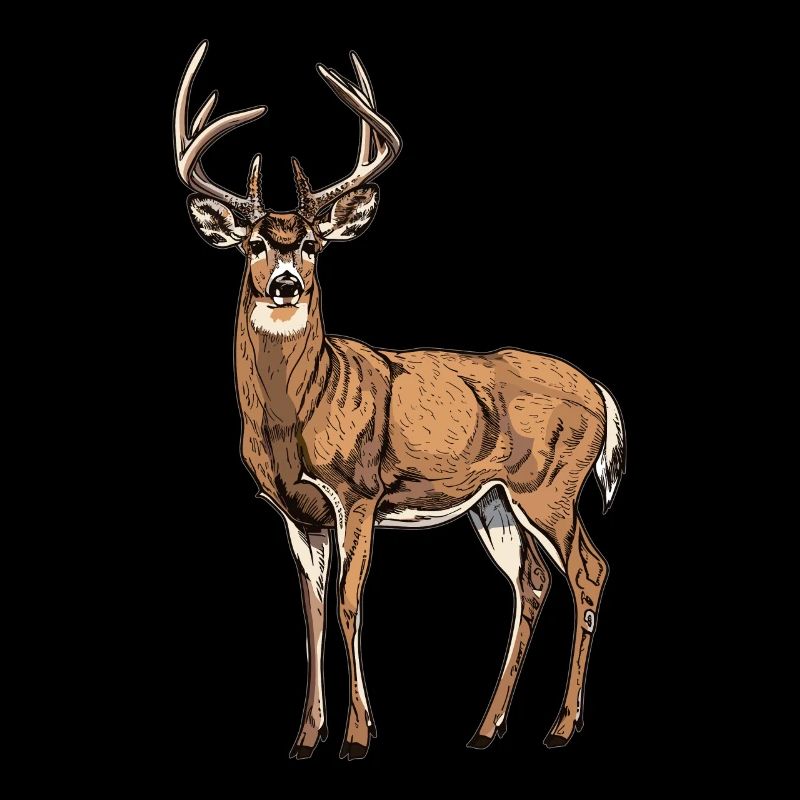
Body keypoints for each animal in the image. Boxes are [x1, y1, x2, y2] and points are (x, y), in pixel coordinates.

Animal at [173, 41, 626, 761]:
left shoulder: (358, 492)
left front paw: (357, 738)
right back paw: (486, 729)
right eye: (253, 243)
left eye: (312, 243)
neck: (299, 413)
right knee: (531, 583)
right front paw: (306, 738)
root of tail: (603, 395)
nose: (284, 283)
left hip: (551, 485)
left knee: (589, 570)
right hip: (496, 502)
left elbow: (349, 604)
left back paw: (559, 727)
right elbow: (311, 612)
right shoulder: (296, 514)